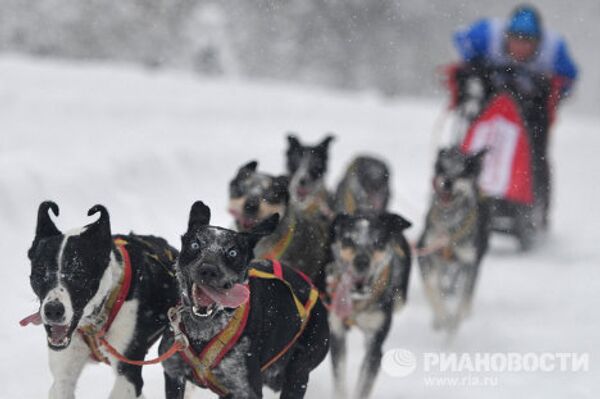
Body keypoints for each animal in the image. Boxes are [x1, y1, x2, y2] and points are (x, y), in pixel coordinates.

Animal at [159, 203, 328, 399]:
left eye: (232, 252)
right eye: (195, 244)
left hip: (298, 373)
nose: (208, 270)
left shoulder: (245, 389)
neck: (203, 333)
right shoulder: (174, 374)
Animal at [326, 212, 410, 399]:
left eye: (378, 242)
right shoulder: (337, 333)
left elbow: (363, 385)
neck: (357, 303)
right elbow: (339, 379)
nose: (361, 261)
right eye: (348, 240)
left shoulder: (375, 346)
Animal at [414, 147, 490, 334]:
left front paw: (454, 323)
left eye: (462, 172)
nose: (448, 181)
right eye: (442, 168)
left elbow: (464, 298)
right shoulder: (424, 252)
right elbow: (432, 288)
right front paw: (441, 317)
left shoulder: (470, 262)